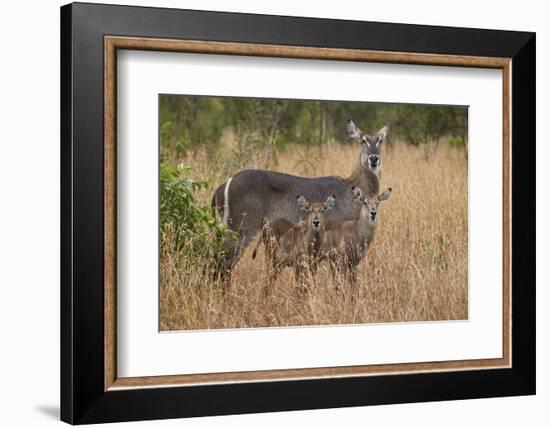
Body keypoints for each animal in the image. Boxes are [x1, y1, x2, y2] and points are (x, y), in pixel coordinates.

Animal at [211, 120, 388, 280]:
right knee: (221, 265)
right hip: (239, 231)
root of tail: (222, 186)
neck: (352, 190)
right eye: (363, 140)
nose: (373, 158)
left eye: (380, 140)